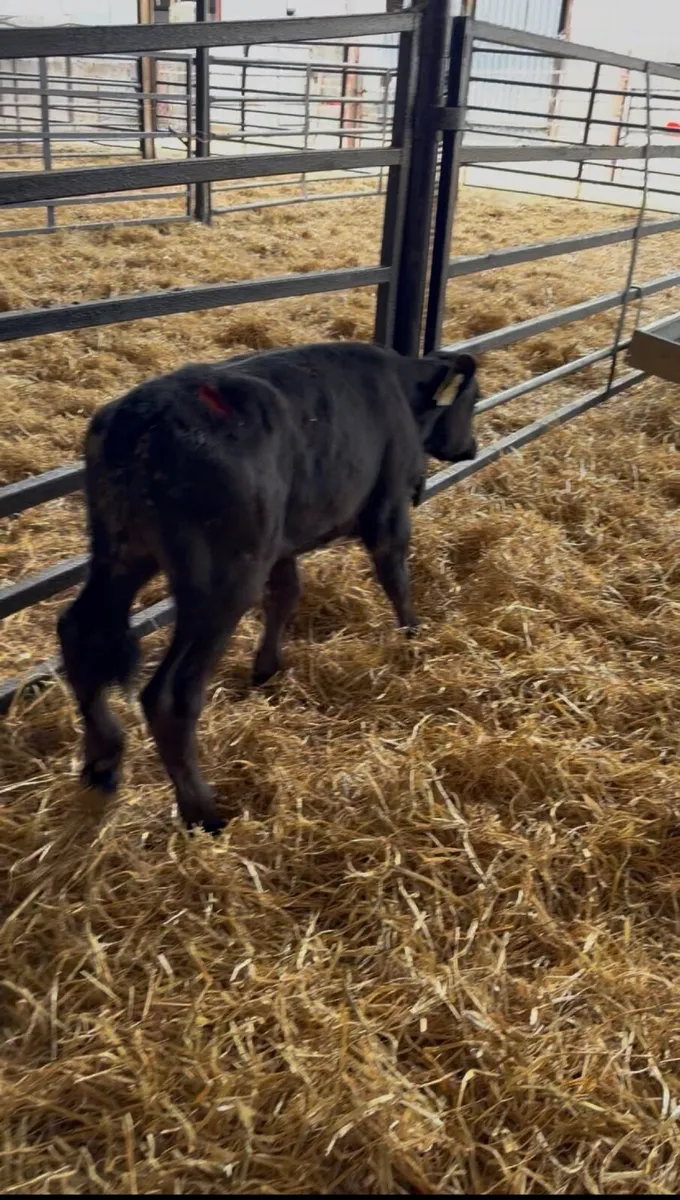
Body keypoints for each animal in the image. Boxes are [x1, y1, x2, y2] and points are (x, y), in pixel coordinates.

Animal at [57, 341, 479, 834]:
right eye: (472, 400)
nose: (471, 448)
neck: (402, 391)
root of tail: (143, 418)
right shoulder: (388, 508)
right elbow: (396, 576)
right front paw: (414, 633)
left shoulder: (283, 544)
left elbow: (285, 595)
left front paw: (266, 667)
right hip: (222, 582)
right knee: (171, 693)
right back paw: (203, 812)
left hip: (120, 554)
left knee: (81, 634)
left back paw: (102, 765)